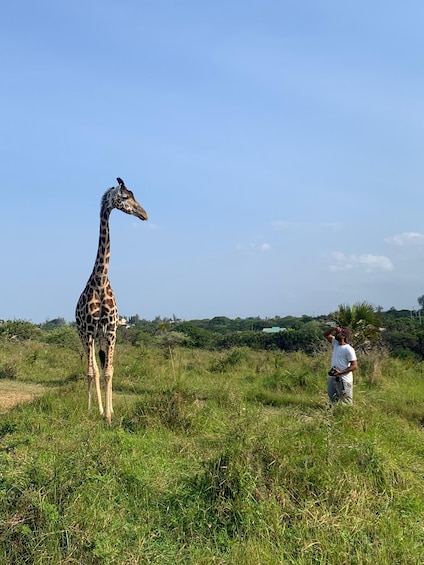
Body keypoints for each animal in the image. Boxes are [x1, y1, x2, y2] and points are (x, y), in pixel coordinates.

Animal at [75, 177, 148, 424]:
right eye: (125, 197)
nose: (144, 214)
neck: (100, 281)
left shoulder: (112, 330)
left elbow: (110, 370)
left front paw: (109, 415)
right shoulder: (89, 331)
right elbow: (93, 371)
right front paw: (95, 411)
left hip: (100, 337)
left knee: (103, 365)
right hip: (84, 335)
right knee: (92, 369)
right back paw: (93, 409)